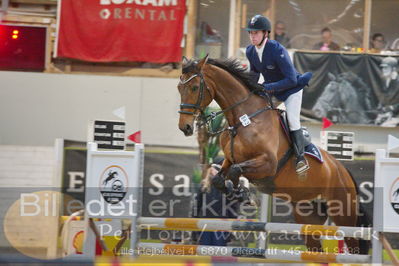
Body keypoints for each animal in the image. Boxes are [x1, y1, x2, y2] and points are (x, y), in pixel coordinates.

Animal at [177, 55, 370, 255]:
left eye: (194, 87)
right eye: (179, 88)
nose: (185, 127)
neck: (242, 120)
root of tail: (343, 170)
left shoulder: (268, 164)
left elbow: (236, 171)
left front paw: (243, 194)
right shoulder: (229, 159)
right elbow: (220, 178)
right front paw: (236, 192)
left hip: (343, 213)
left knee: (353, 243)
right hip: (308, 214)